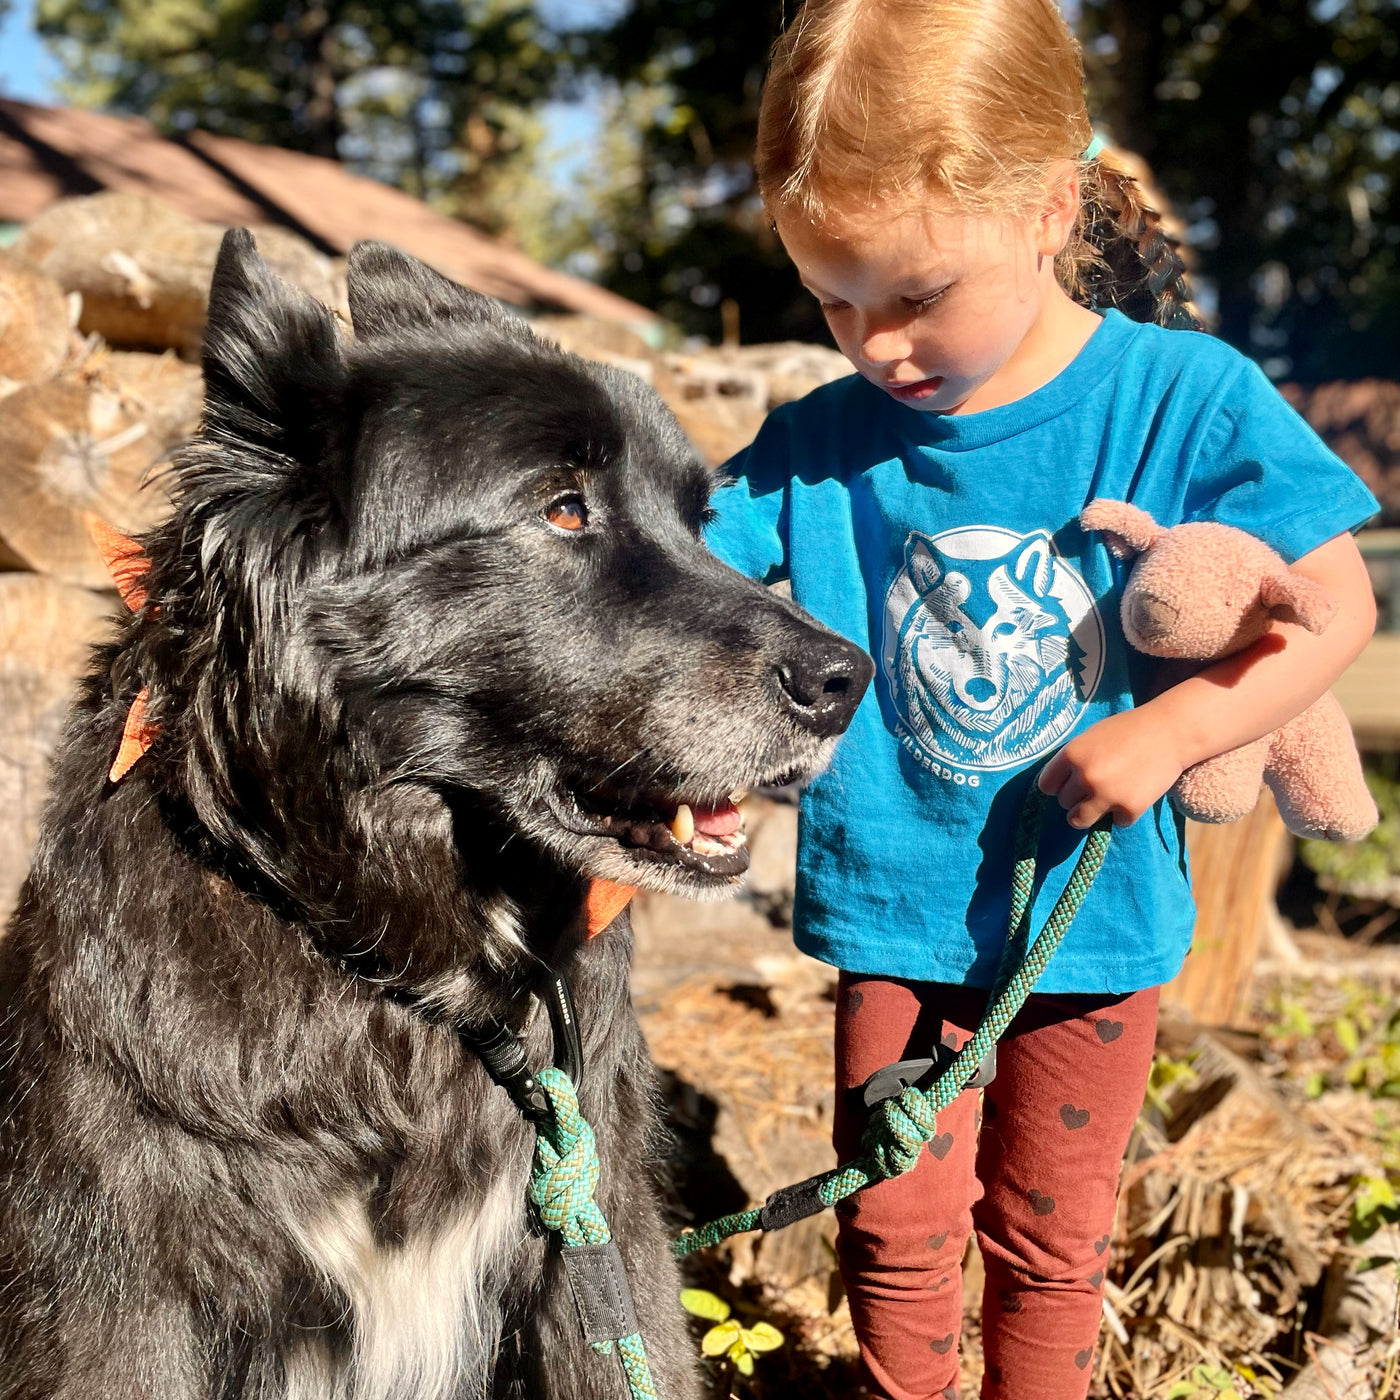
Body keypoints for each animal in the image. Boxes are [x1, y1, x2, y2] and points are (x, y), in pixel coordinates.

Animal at [0, 235, 873, 1394]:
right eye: (562, 508)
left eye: (697, 520)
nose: (848, 678)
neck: (398, 964)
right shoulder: (120, 1290)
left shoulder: (597, 1244)